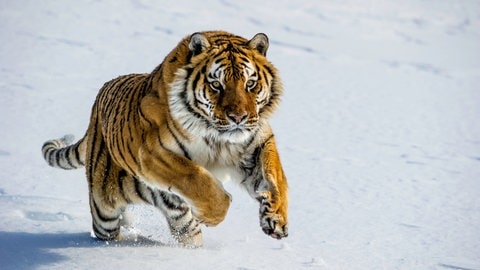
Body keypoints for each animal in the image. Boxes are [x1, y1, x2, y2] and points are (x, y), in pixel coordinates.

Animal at [41, 30, 286, 247]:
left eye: (250, 84)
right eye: (216, 85)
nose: (238, 117)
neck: (219, 137)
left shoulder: (257, 142)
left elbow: (275, 176)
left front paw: (276, 218)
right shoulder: (152, 152)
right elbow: (195, 177)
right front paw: (212, 215)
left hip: (174, 215)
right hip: (104, 211)